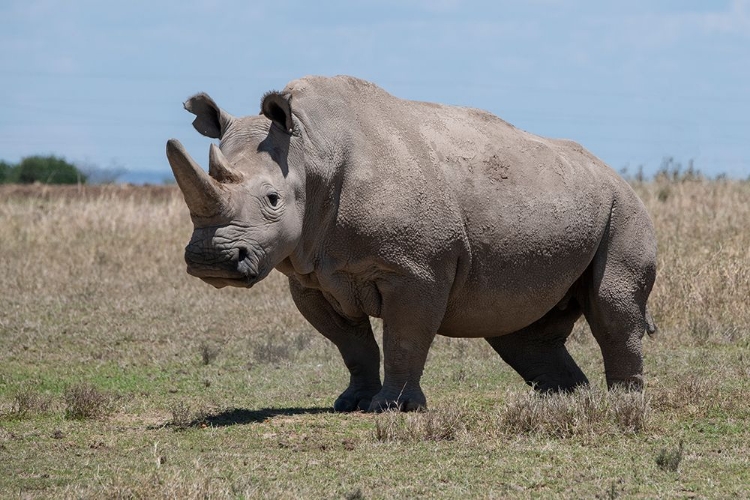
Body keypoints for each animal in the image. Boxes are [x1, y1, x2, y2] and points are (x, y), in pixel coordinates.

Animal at [166, 74, 656, 410]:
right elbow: (353, 345)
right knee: (521, 330)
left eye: (272, 200)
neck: (312, 150)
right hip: (557, 198)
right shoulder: (310, 274)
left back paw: (622, 405)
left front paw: (393, 408)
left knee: (612, 307)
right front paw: (351, 403)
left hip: (624, 208)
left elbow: (404, 335)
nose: (210, 259)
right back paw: (566, 402)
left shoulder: (416, 269)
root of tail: (613, 172)